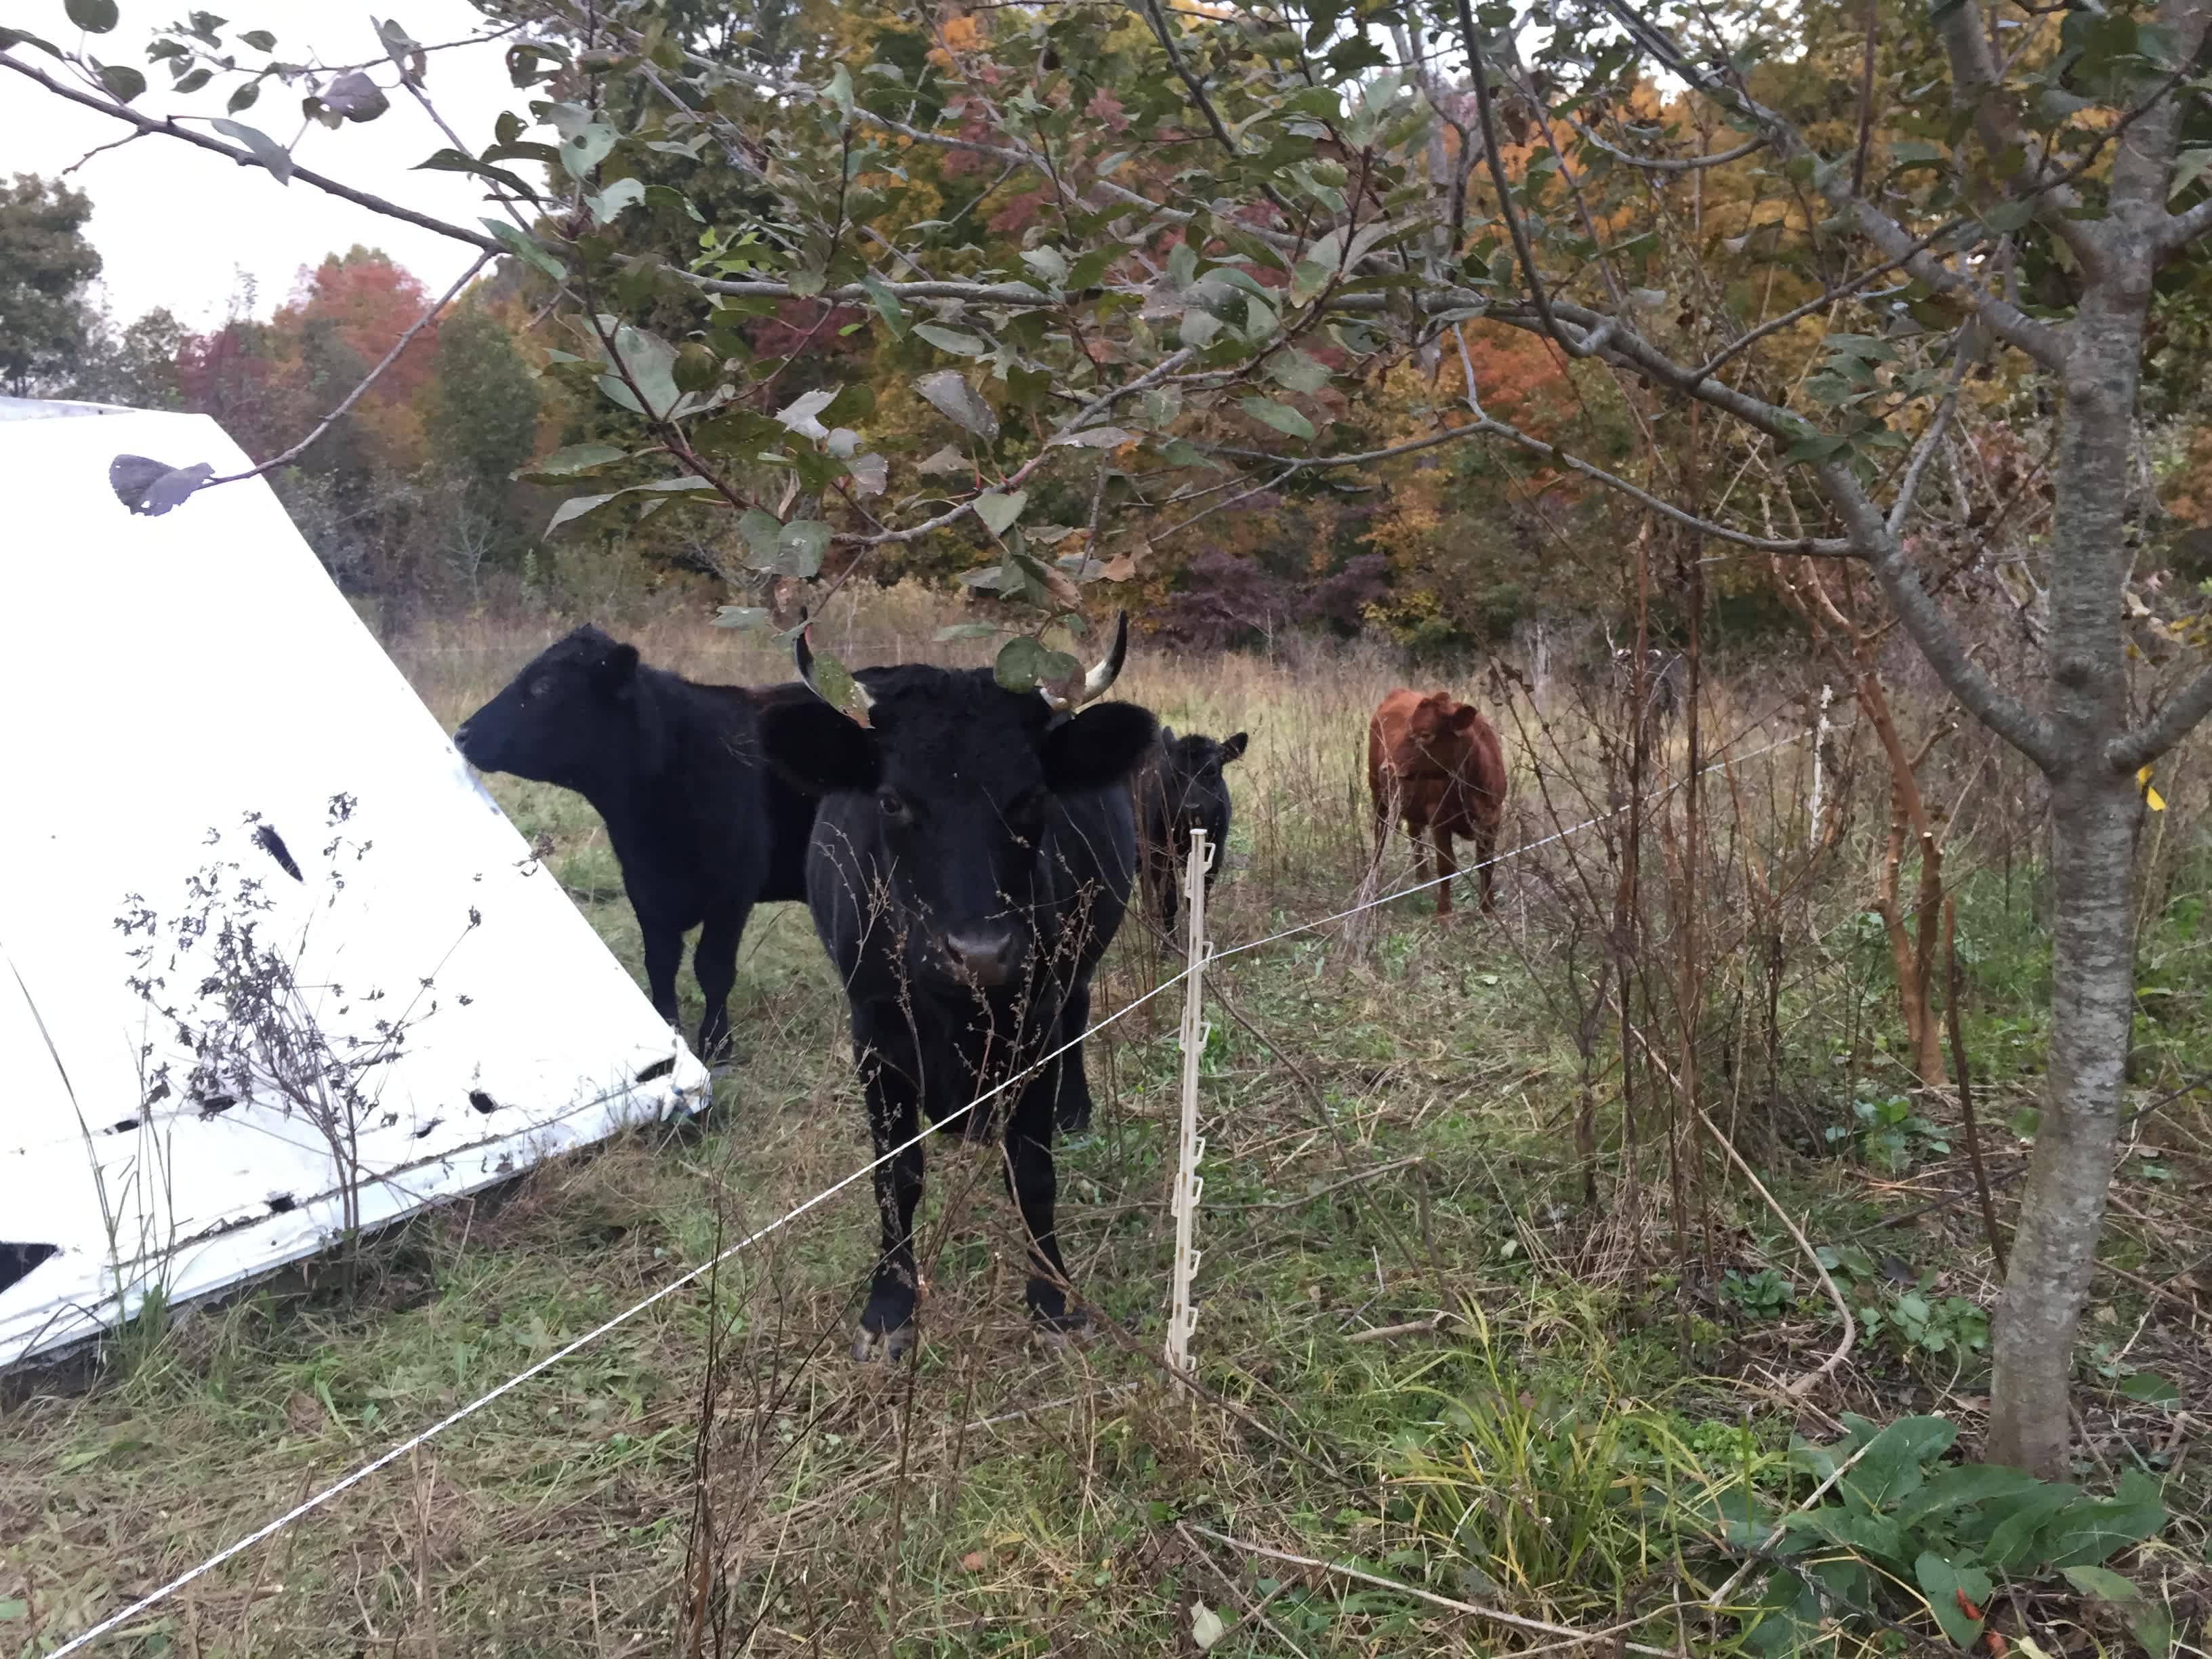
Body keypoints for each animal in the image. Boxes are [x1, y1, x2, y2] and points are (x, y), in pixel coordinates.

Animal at [451, 626, 817, 1061]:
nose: (462, 734)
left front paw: (716, 1045)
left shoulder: (734, 891)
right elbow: (660, 962)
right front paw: (670, 1030)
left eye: (544, 686)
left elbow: (713, 970)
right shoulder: (643, 886)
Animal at [757, 615, 1155, 1361]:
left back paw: (1073, 1110)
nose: (980, 954)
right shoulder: (873, 1038)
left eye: (1033, 798)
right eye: (891, 801)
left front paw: (1054, 1300)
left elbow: (1031, 1170)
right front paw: (888, 1311)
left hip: (1075, 977)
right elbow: (896, 1178)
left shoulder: (1034, 1031)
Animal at [1134, 725, 1249, 934]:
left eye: (1212, 772)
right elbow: (1169, 902)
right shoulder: (1158, 851)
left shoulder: (1214, 853)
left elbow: (1198, 899)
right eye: (1174, 772)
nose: (1191, 807)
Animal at [1367, 688, 1508, 916]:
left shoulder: (1492, 818)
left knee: (1415, 834)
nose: (1387, 767)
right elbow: (1446, 864)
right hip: (1379, 796)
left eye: (1425, 734)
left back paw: (1422, 876)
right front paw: (1444, 912)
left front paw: (1488, 908)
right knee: (1380, 836)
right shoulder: (1439, 817)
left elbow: (1486, 863)